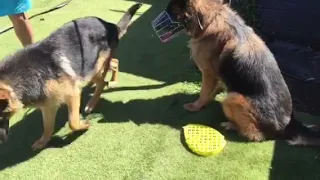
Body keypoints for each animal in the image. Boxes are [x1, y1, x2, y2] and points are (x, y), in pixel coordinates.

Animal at [0, 3, 141, 150]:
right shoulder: (48, 105)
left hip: (91, 67)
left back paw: (92, 104)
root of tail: (111, 26)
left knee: (102, 82)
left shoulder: (72, 94)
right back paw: (112, 80)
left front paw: (84, 125)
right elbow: (47, 128)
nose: (2, 141)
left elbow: (72, 122)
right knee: (114, 63)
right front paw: (43, 141)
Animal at [165, 0, 320, 146]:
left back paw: (231, 125)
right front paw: (209, 98)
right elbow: (211, 90)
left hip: (233, 98)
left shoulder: (208, 72)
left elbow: (203, 92)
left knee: (255, 135)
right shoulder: (217, 75)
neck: (211, 17)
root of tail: (289, 123)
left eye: (172, 12)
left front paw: (196, 106)